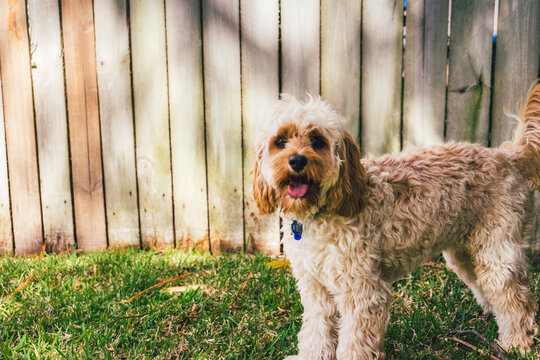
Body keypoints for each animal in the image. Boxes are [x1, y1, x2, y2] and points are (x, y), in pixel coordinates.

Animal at [253, 83, 540, 358]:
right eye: (280, 141)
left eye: (317, 140)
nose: (297, 160)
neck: (320, 213)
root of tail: (510, 157)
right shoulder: (315, 289)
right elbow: (316, 332)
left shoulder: (363, 291)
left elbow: (355, 341)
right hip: (465, 254)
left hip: (498, 251)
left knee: (518, 300)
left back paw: (516, 343)